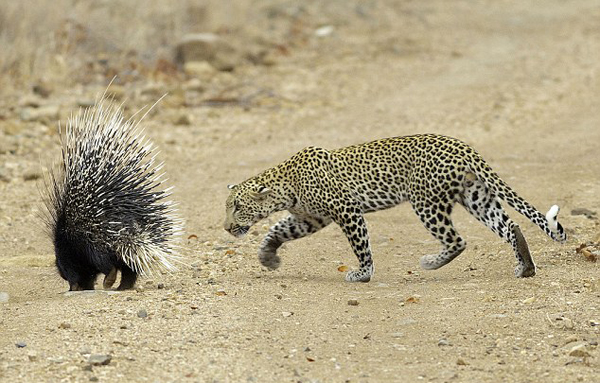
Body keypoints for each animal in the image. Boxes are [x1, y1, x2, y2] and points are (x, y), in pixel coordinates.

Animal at [223, 134, 564, 282]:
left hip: (425, 201)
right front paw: (268, 257)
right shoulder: (311, 218)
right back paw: (525, 267)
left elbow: (361, 246)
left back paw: (430, 263)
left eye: (237, 208)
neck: (286, 184)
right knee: (510, 226)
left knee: (456, 240)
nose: (226, 227)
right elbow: (278, 230)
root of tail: (463, 146)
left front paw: (362, 274)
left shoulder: (347, 210)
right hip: (476, 196)